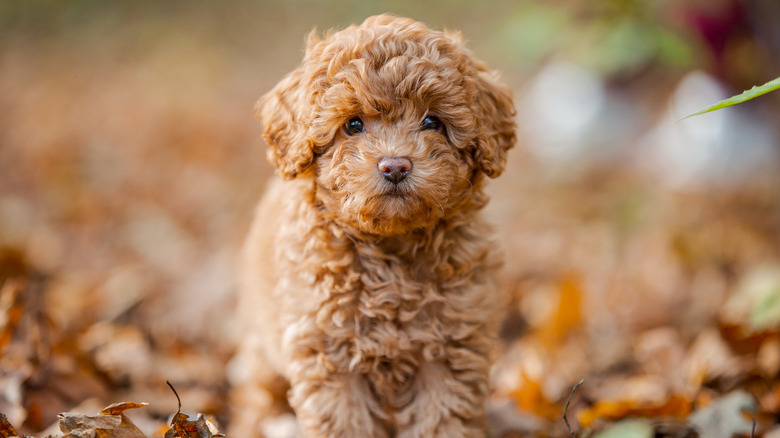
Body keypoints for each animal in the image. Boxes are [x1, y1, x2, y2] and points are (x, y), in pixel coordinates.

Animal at [232, 14, 516, 438]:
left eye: (432, 121)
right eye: (352, 125)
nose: (395, 165)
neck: (390, 248)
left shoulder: (449, 346)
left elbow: (441, 417)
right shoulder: (331, 351)